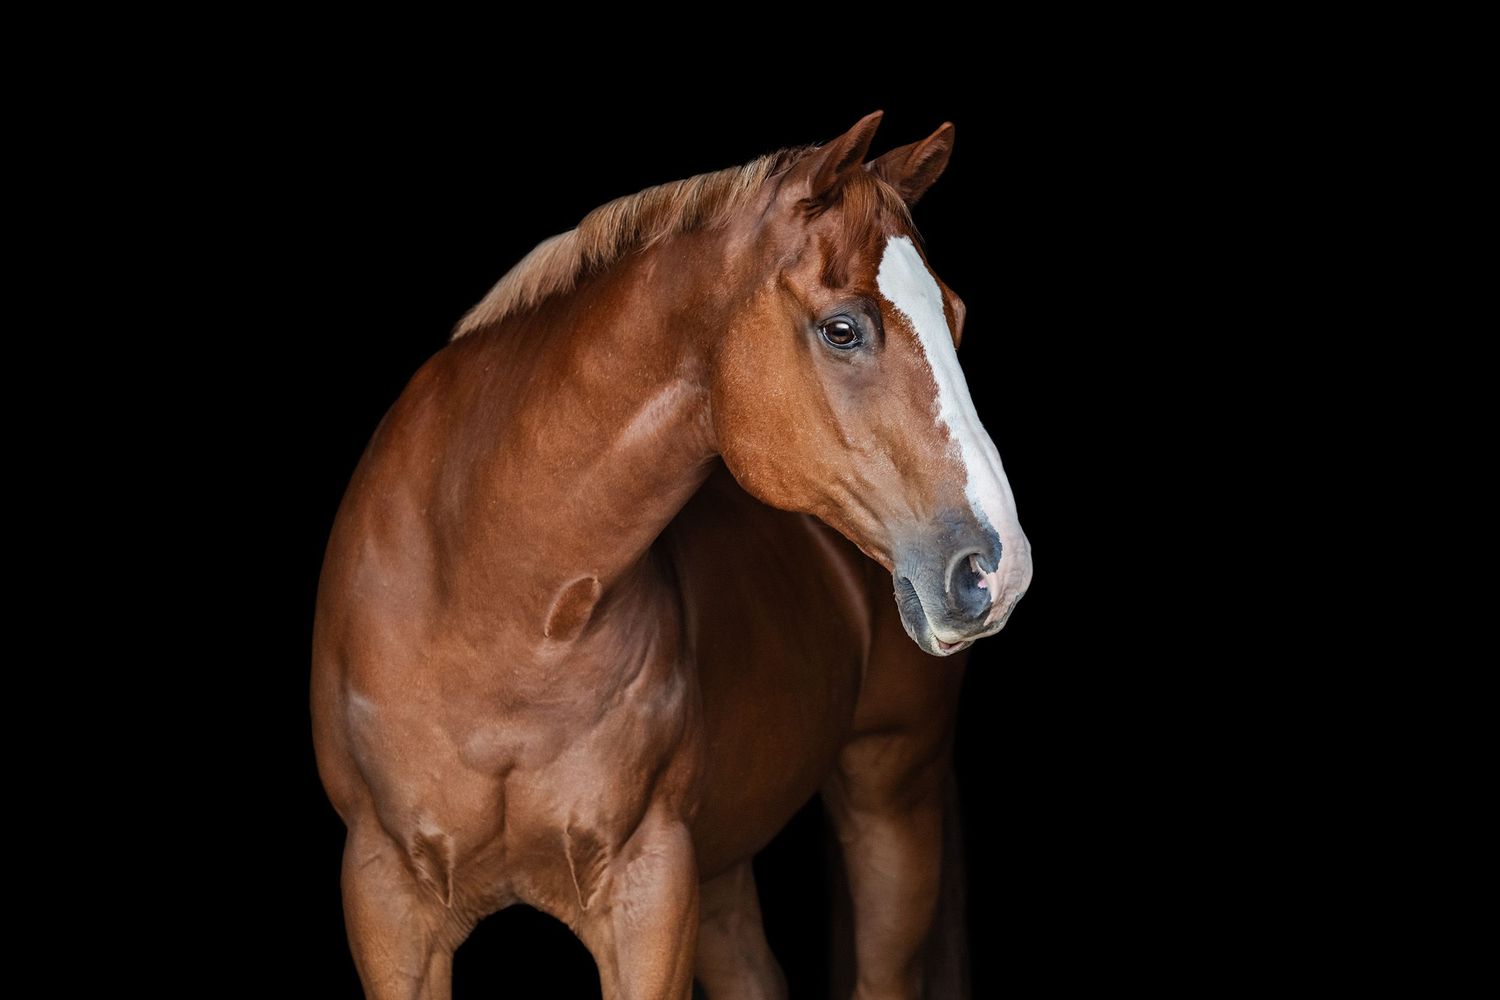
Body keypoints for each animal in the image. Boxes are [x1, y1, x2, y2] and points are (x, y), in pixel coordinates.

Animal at [312, 111, 1032, 999]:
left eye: (955, 318)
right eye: (842, 328)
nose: (997, 569)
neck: (491, 598)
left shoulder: (649, 897)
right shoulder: (387, 904)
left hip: (890, 797)